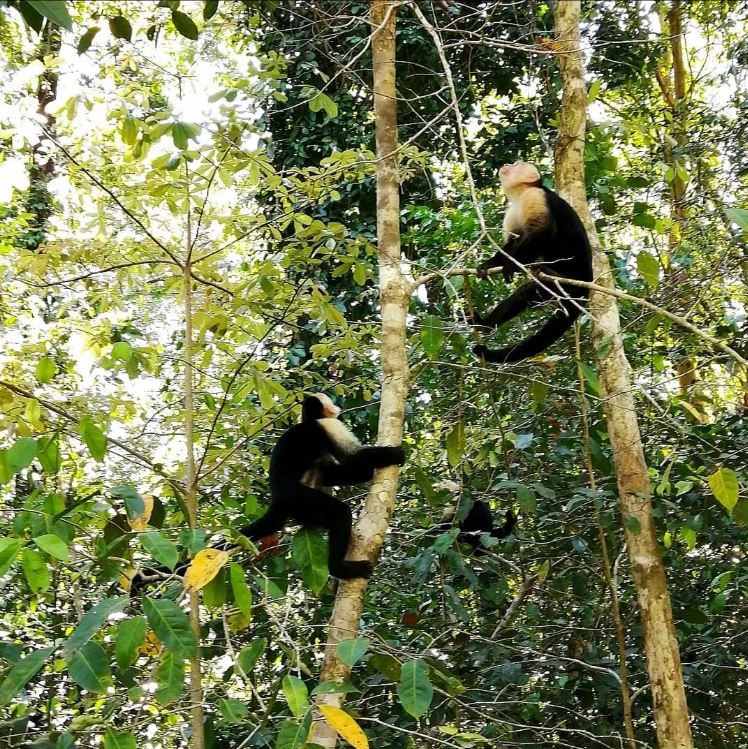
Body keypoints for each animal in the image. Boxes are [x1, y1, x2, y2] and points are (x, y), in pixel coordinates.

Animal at [474, 159, 592, 364]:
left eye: (517, 164)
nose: (508, 164)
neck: (519, 195)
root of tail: (587, 283)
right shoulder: (512, 210)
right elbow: (512, 243)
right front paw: (489, 265)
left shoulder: (535, 195)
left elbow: (543, 232)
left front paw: (510, 266)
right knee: (524, 295)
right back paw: (485, 325)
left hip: (572, 276)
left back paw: (546, 270)